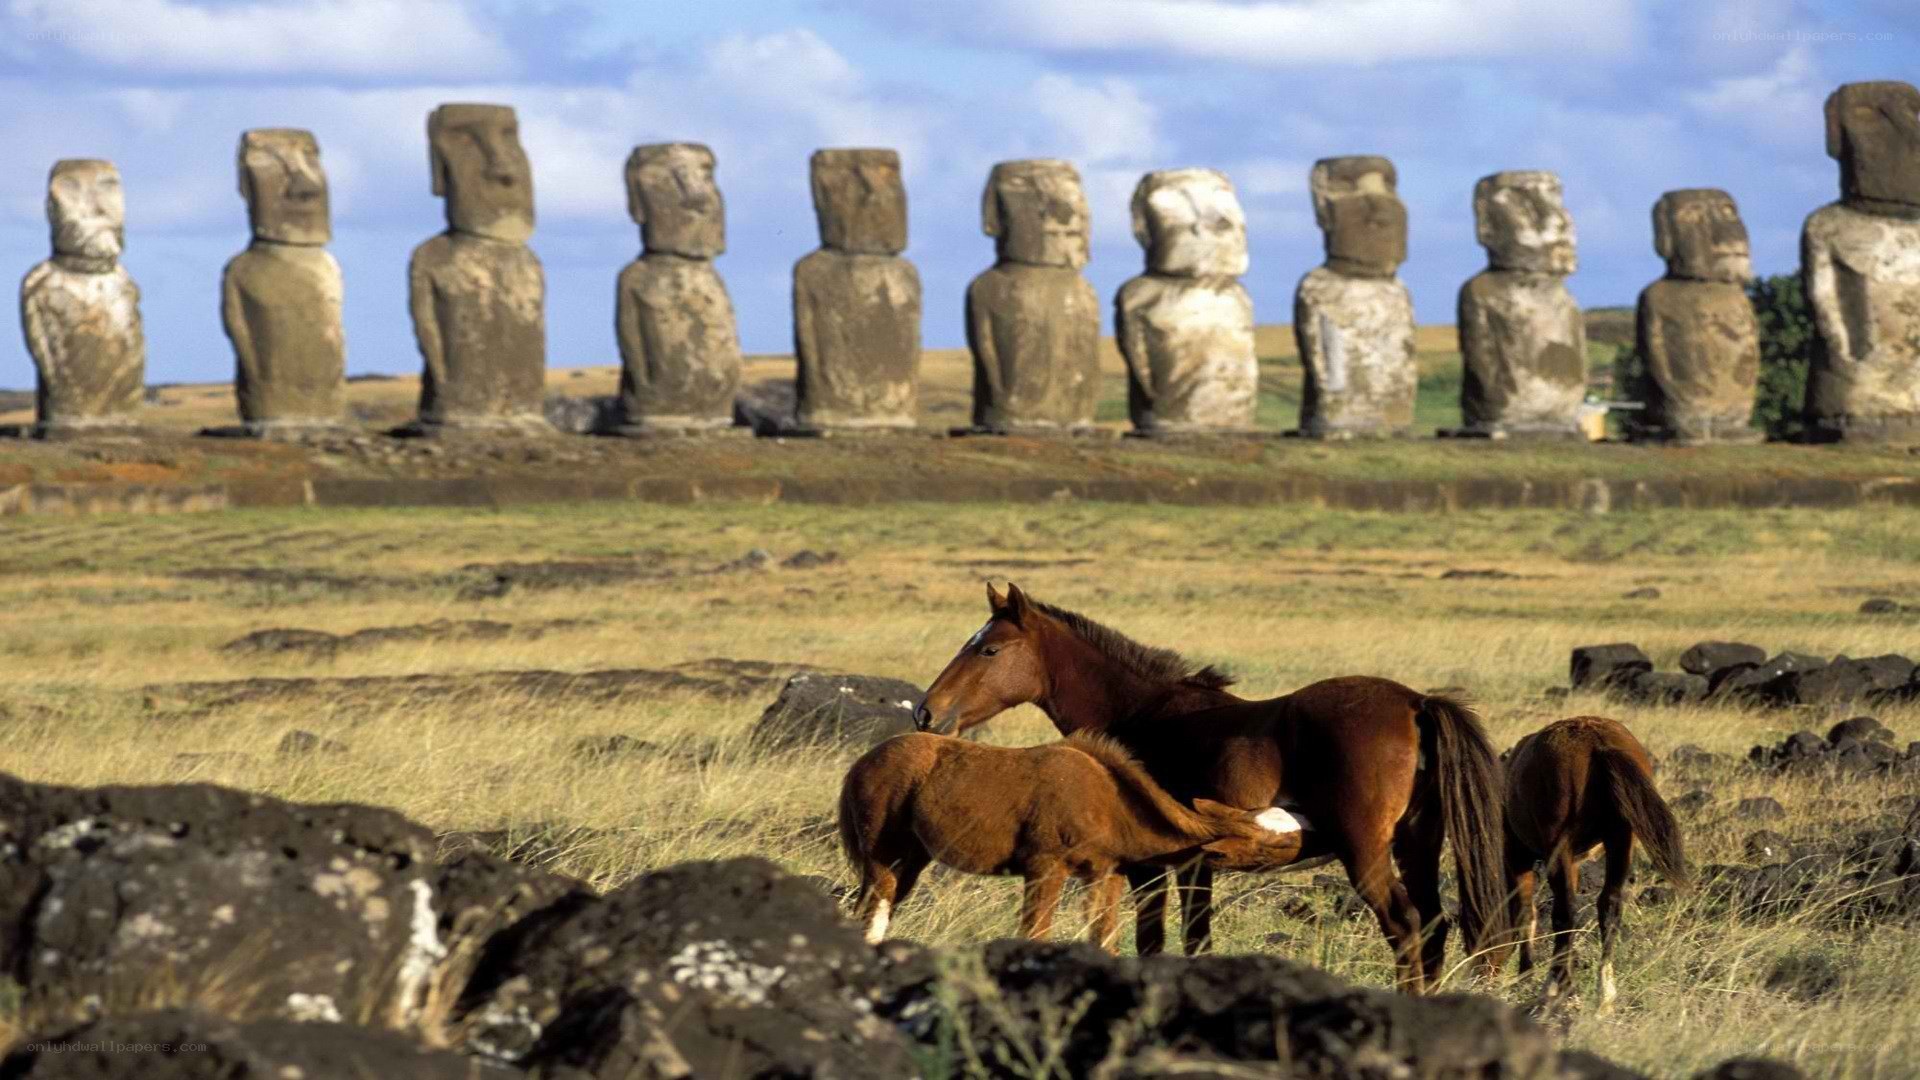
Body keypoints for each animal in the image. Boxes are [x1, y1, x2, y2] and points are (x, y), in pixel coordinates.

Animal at [838, 732, 1310, 951]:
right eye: (1277, 846)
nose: (1317, 841)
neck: (1108, 801)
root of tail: (862, 763)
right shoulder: (1044, 868)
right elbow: (1035, 934)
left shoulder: (1105, 875)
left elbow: (1105, 940)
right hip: (882, 855)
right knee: (873, 911)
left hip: (912, 860)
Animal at [913, 583, 1509, 993]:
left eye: (988, 650)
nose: (926, 712)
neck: (1139, 714)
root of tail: (1415, 703)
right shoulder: (1195, 867)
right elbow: (1195, 940)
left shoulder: (1150, 868)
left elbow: (1154, 941)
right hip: (1417, 845)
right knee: (1432, 928)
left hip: (1365, 852)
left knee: (1405, 927)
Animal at [1486, 715, 1690, 1010]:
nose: (1485, 974)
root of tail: (1599, 744)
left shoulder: (1518, 857)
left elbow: (1526, 914)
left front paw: (1526, 976)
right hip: (1620, 840)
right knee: (1609, 905)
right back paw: (1604, 994)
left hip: (1560, 845)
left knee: (1565, 912)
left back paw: (1556, 987)